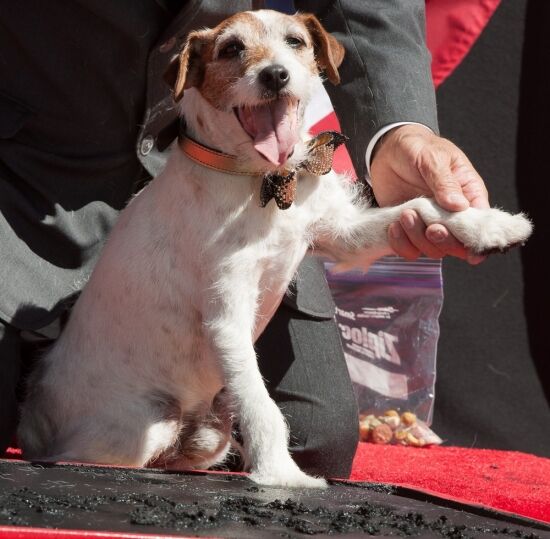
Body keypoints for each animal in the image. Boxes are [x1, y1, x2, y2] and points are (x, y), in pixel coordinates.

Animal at [18, 9, 536, 490]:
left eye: (295, 42)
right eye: (231, 49)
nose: (275, 75)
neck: (259, 181)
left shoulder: (339, 231)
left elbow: (422, 205)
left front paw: (490, 225)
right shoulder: (227, 316)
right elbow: (263, 405)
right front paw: (283, 475)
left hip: (205, 433)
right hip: (144, 424)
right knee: (89, 456)